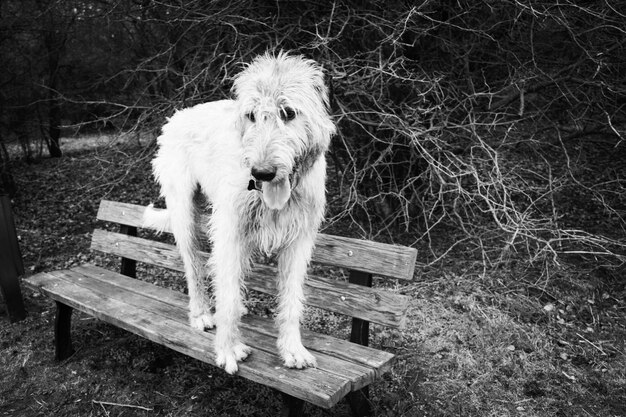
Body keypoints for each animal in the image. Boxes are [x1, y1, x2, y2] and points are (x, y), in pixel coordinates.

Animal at [143, 52, 334, 374]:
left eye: (288, 113)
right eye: (251, 116)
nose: (261, 173)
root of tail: (176, 116)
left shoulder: (299, 239)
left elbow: (291, 297)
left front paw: (292, 349)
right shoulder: (229, 229)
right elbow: (228, 294)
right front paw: (228, 348)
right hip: (184, 211)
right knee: (194, 265)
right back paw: (202, 313)